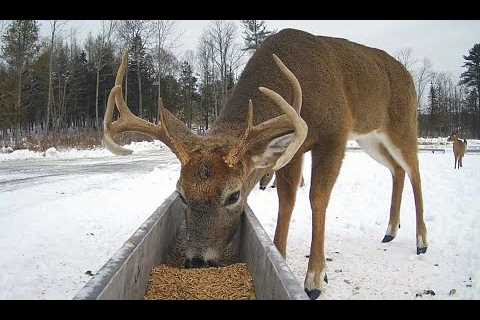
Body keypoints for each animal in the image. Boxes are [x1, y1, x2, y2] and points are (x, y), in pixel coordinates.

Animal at [102, 28, 428, 300]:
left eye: (233, 195)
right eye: (181, 193)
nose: (197, 261)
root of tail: (407, 74)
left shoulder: (334, 134)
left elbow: (317, 199)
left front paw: (315, 279)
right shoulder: (294, 150)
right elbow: (287, 200)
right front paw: (279, 254)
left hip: (402, 124)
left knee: (414, 170)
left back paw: (421, 240)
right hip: (371, 138)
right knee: (397, 170)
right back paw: (390, 230)